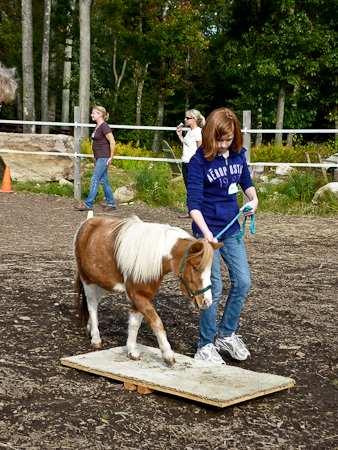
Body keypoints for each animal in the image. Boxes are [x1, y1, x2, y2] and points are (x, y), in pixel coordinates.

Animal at [73, 215, 222, 366]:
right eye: (195, 267)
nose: (207, 301)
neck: (154, 256)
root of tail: (87, 222)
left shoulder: (142, 295)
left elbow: (135, 323)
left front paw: (132, 350)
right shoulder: (136, 295)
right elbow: (156, 322)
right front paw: (167, 354)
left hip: (103, 283)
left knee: (94, 303)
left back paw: (89, 328)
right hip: (88, 280)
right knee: (92, 306)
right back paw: (96, 338)